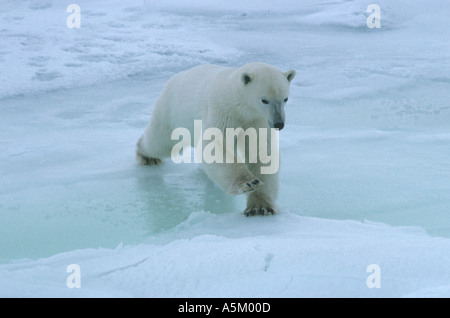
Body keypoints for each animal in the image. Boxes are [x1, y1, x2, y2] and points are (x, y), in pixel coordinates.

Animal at [136, 62, 296, 216]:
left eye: (285, 99)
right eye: (264, 100)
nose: (279, 124)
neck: (238, 103)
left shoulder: (256, 121)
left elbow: (260, 151)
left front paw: (260, 207)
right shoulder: (223, 112)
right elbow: (215, 145)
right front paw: (248, 183)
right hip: (171, 111)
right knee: (161, 142)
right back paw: (147, 156)